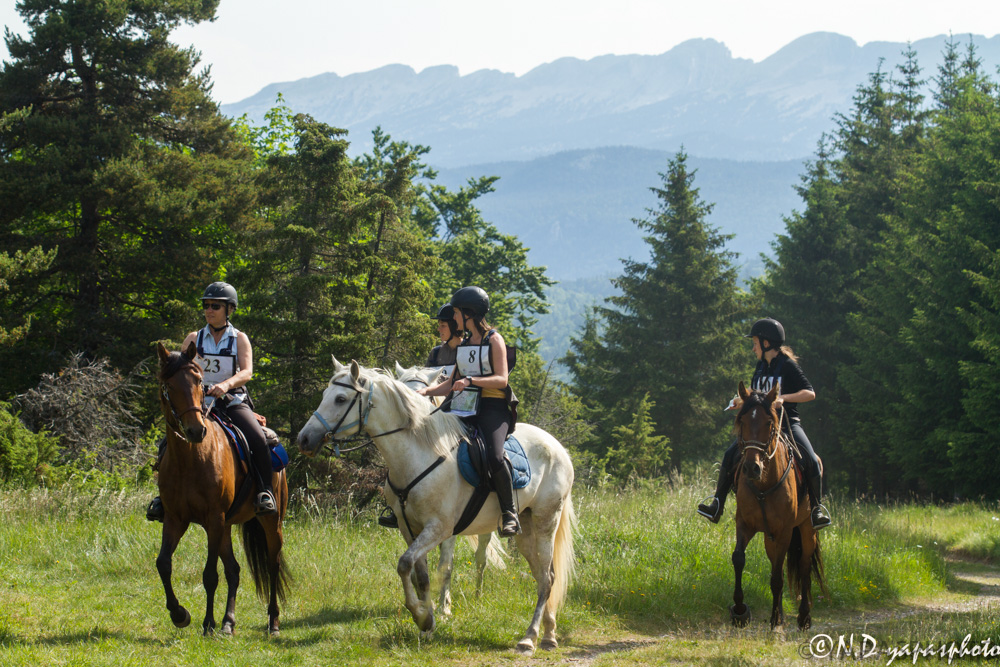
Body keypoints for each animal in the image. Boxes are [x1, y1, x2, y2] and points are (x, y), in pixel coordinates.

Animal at [154, 342, 290, 636]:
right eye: (169, 385)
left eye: (199, 381)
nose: (196, 431)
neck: (189, 459)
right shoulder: (175, 518)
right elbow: (163, 563)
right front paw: (179, 614)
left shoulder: (213, 520)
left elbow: (209, 574)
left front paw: (207, 624)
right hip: (227, 525)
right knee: (234, 570)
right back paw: (229, 622)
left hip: (270, 520)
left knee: (272, 565)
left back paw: (273, 622)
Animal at [297, 358, 576, 653]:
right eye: (324, 395)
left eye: (340, 399)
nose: (304, 439)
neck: (419, 454)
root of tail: (558, 447)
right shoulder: (409, 528)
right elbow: (420, 575)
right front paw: (427, 622)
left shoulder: (440, 528)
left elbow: (408, 564)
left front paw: (425, 616)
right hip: (526, 528)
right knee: (545, 575)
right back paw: (549, 633)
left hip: (546, 521)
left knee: (545, 578)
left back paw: (529, 637)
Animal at [729, 381, 826, 630]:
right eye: (742, 421)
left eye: (769, 423)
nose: (751, 468)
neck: (764, 484)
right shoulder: (744, 524)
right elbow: (739, 559)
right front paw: (740, 611)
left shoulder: (784, 531)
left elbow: (777, 578)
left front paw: (774, 622)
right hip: (769, 537)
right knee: (779, 565)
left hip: (806, 529)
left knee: (803, 567)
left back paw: (803, 617)